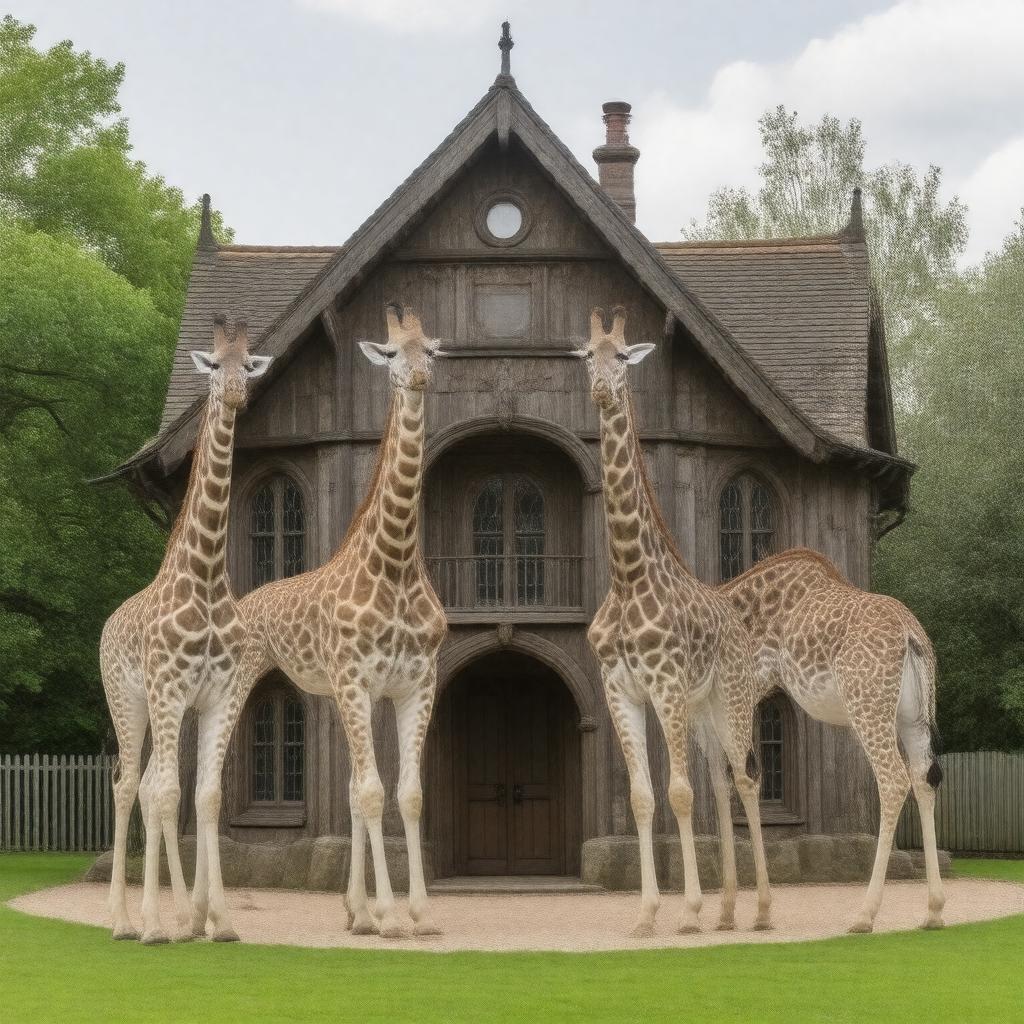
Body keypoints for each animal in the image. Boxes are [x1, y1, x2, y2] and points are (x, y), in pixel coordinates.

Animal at [100, 317, 271, 944]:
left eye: (250, 365)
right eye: (215, 365)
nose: (238, 394)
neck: (206, 573)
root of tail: (106, 626)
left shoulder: (215, 695)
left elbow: (208, 796)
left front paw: (216, 920)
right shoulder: (171, 690)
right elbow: (170, 793)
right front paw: (159, 923)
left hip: (160, 707)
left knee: (150, 787)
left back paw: (173, 918)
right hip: (129, 699)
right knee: (130, 785)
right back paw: (126, 921)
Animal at [234, 302, 448, 939]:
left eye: (431, 350)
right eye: (391, 352)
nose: (417, 378)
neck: (396, 563)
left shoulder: (412, 683)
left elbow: (403, 795)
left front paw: (408, 912)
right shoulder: (356, 679)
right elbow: (374, 794)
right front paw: (389, 916)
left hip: (330, 696)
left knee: (350, 789)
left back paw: (354, 911)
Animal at [575, 306, 772, 936]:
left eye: (622, 356)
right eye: (586, 355)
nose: (601, 390)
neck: (628, 574)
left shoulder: (664, 683)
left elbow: (679, 794)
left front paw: (687, 912)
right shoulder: (620, 689)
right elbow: (644, 796)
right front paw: (646, 913)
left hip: (730, 700)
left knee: (747, 780)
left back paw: (762, 909)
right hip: (704, 711)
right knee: (722, 784)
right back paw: (730, 910)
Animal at [720, 547, 945, 932]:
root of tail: (911, 636)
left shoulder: (752, 681)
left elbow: (736, 777)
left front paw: (746, 912)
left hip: (868, 708)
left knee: (893, 780)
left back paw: (864, 915)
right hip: (911, 718)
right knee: (923, 778)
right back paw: (933, 911)